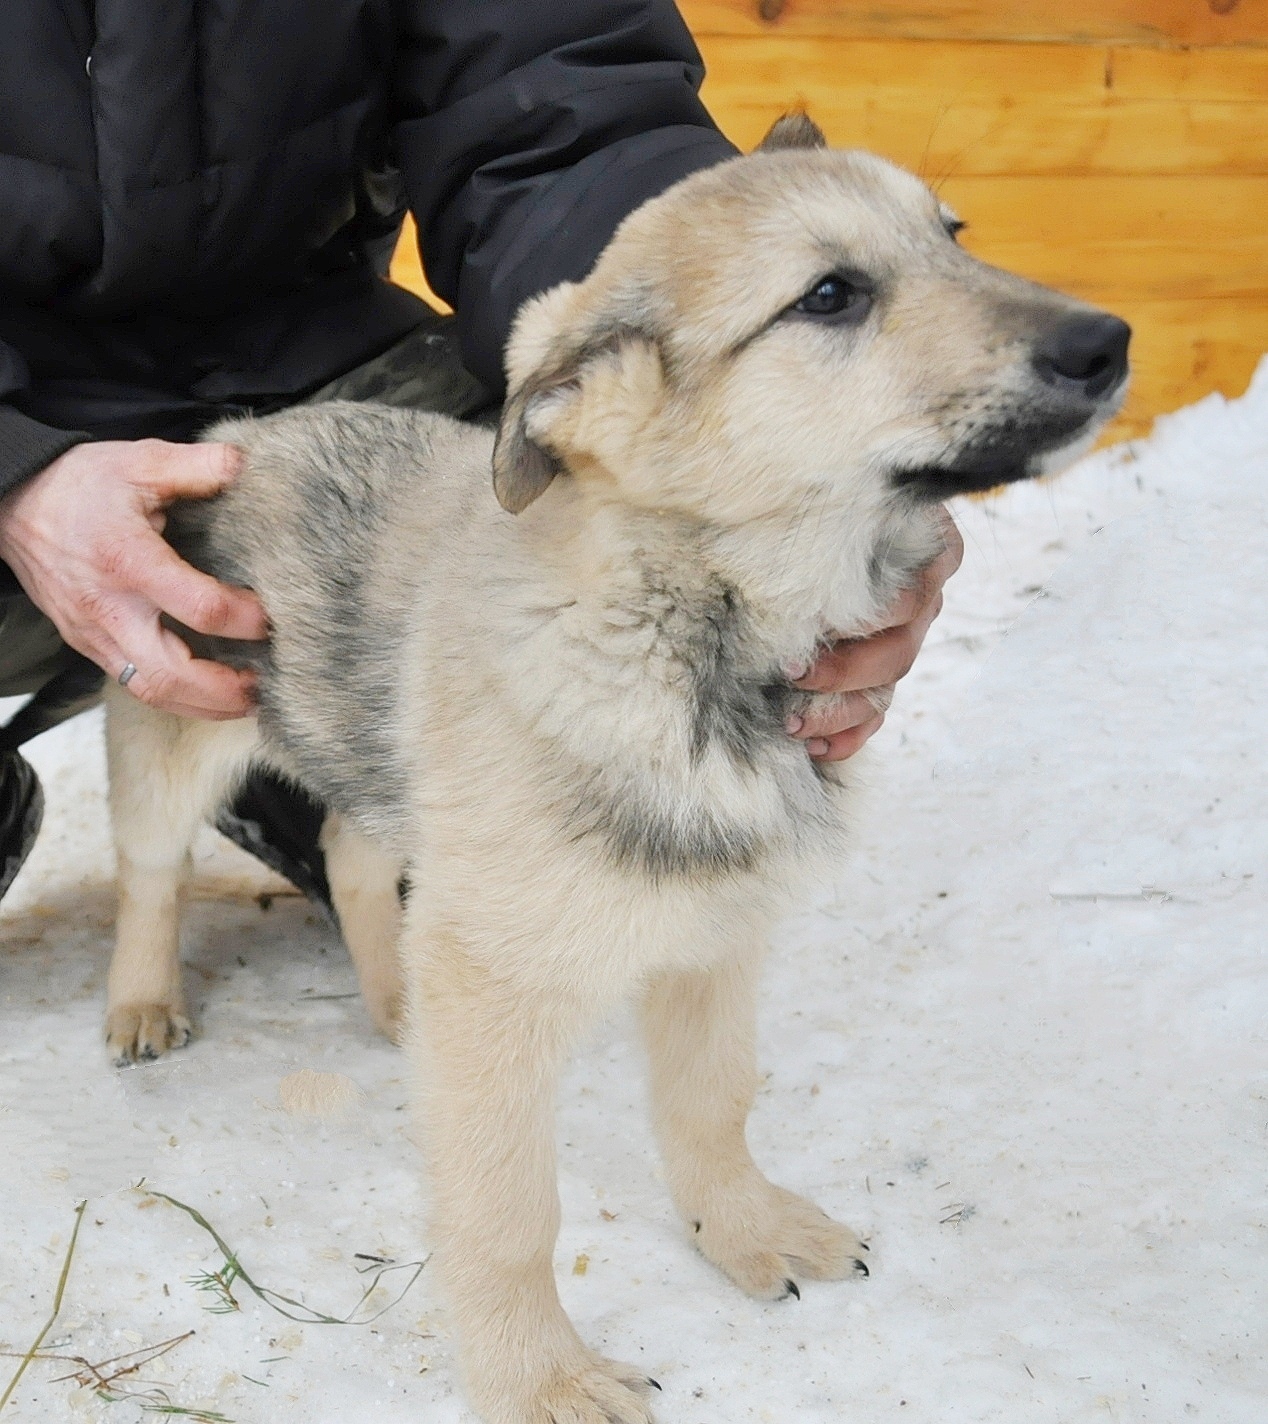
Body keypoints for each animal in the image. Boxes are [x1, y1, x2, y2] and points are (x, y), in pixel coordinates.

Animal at [99, 113, 1128, 1424]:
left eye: (953, 235)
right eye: (829, 295)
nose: (1109, 341)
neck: (694, 634)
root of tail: (241, 431)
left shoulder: (716, 930)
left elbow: (711, 1099)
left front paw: (738, 1226)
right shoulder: (496, 979)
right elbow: (505, 1211)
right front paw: (536, 1373)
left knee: (350, 844)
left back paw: (392, 1005)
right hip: (176, 720)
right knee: (152, 867)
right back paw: (142, 1000)